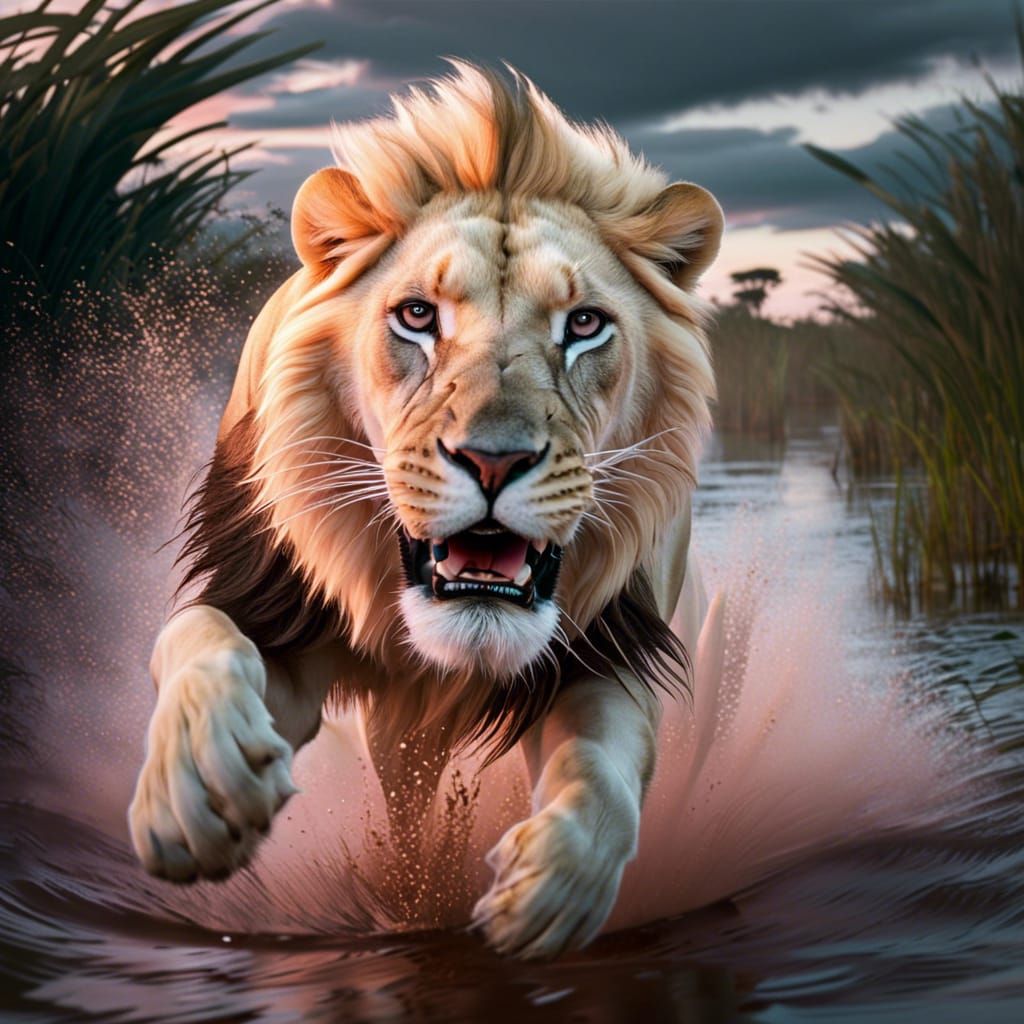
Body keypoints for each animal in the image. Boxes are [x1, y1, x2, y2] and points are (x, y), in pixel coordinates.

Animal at [128, 63, 723, 959]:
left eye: (584, 325)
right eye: (417, 316)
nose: (495, 459)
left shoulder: (609, 648)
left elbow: (607, 769)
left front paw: (555, 887)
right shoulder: (281, 630)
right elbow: (201, 637)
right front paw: (200, 783)